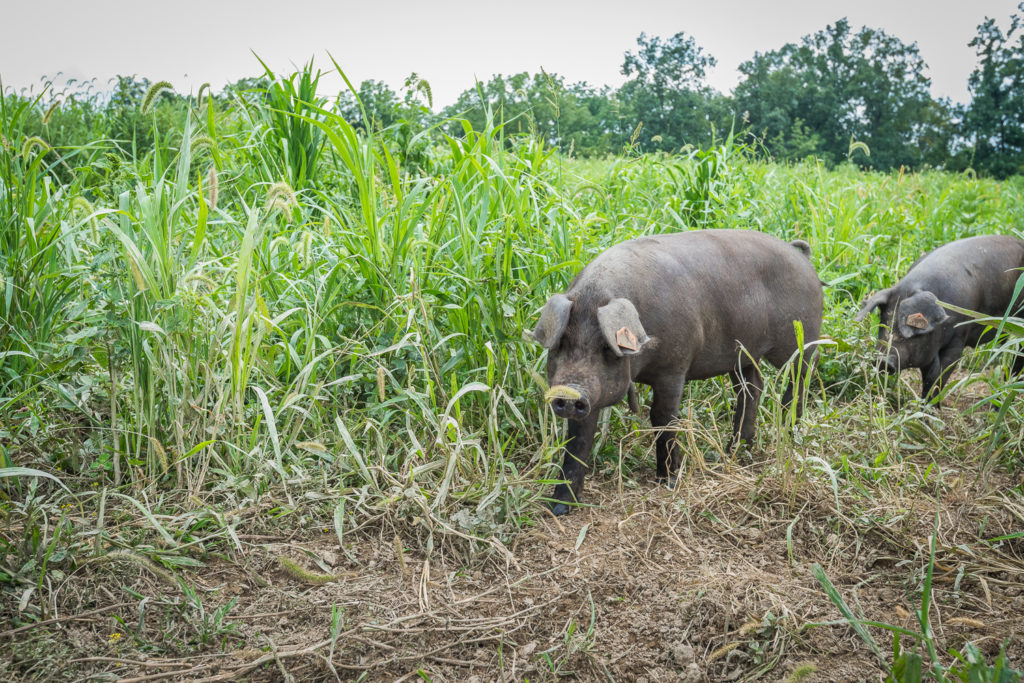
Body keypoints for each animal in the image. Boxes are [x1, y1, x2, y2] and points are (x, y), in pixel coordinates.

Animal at [528, 229, 823, 511]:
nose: (569, 394)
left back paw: (791, 434)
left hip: (802, 338)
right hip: (743, 353)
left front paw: (668, 481)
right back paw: (735, 451)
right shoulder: (593, 392)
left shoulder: (674, 367)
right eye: (561, 344)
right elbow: (578, 438)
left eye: (606, 348)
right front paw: (559, 507)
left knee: (800, 377)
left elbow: (663, 417)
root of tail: (802, 258)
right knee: (752, 387)